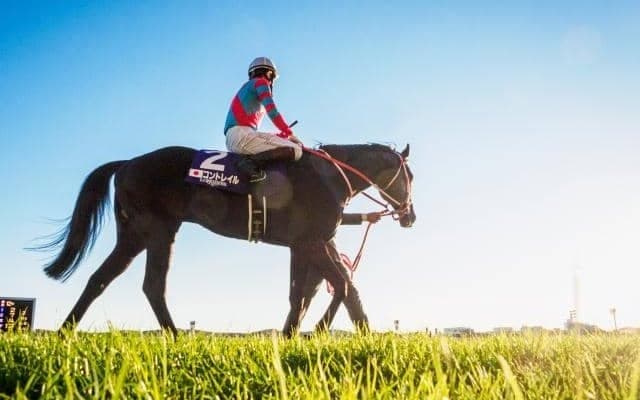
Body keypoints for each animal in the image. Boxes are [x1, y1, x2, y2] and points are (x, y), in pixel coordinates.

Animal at [38, 143, 415, 337]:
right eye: (409, 176)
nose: (410, 215)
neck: (328, 176)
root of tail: (127, 163)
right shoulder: (313, 241)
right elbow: (344, 286)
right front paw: (349, 334)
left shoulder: (303, 244)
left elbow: (302, 295)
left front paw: (291, 336)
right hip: (156, 231)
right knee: (151, 286)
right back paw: (175, 338)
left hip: (136, 235)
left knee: (102, 279)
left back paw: (65, 333)